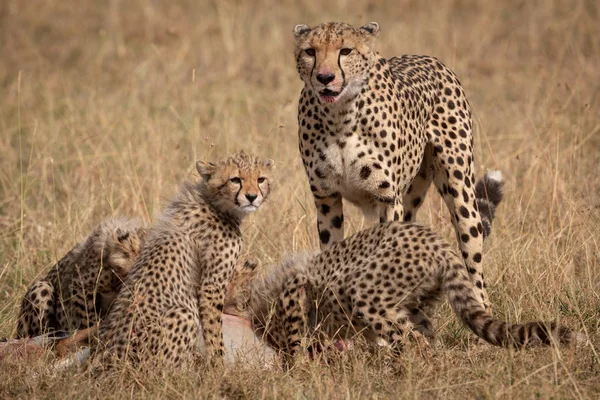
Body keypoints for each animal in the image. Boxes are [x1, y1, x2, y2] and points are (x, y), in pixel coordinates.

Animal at [95, 151, 274, 368]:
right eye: (235, 179)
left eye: (260, 179)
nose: (251, 197)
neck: (214, 202)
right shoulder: (211, 286)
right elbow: (214, 330)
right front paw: (218, 367)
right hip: (182, 315)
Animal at [250, 175, 580, 362]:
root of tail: (439, 245)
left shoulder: (295, 287)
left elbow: (294, 333)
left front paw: (298, 367)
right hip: (416, 303)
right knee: (425, 338)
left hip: (367, 293)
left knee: (412, 339)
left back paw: (402, 371)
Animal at [292, 21, 494, 312]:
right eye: (310, 51)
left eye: (345, 51)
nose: (325, 77)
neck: (340, 117)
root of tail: (428, 58)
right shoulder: (326, 198)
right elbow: (331, 251)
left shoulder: (387, 198)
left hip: (461, 191)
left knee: (473, 261)